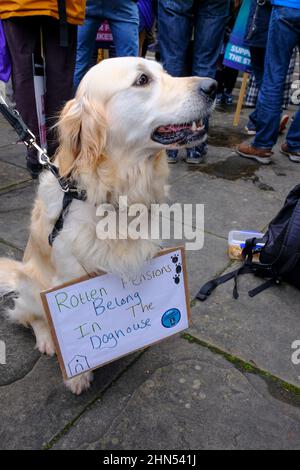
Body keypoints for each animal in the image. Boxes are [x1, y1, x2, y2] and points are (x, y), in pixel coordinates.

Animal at [0, 57, 216, 394]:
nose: (214, 85)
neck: (118, 190)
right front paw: (78, 374)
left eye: (165, 71)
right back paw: (47, 339)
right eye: (142, 79)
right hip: (34, 285)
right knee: (30, 316)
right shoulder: (68, 275)